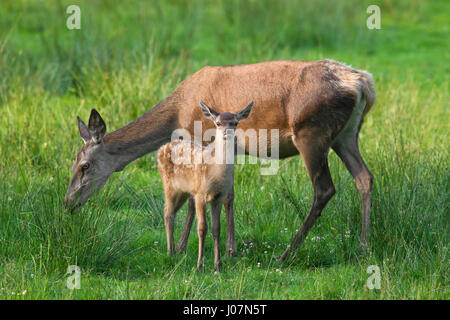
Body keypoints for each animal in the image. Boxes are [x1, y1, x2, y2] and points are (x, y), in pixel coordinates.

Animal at [157, 99, 255, 270]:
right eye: (218, 123)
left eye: (235, 122)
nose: (228, 132)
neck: (215, 174)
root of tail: (160, 149)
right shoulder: (200, 194)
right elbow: (202, 228)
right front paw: (199, 265)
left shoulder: (218, 197)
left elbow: (216, 229)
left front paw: (218, 266)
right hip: (168, 184)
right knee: (168, 213)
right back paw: (170, 252)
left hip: (183, 191)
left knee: (171, 211)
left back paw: (174, 251)